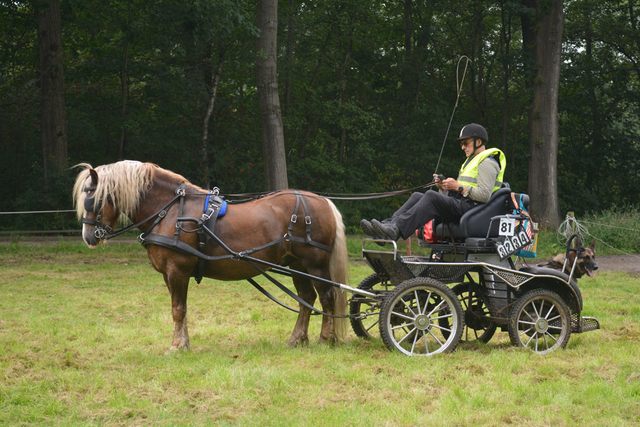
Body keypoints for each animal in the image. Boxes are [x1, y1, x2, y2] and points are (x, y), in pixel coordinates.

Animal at [72, 160, 348, 352]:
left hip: (315, 264)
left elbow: (178, 309)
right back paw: (297, 339)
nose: (88, 237)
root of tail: (322, 201)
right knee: (306, 299)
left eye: (93, 199)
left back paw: (327, 339)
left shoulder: (177, 269)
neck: (169, 211)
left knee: (327, 297)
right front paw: (184, 343)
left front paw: (176, 346)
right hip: (297, 265)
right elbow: (179, 309)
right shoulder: (169, 275)